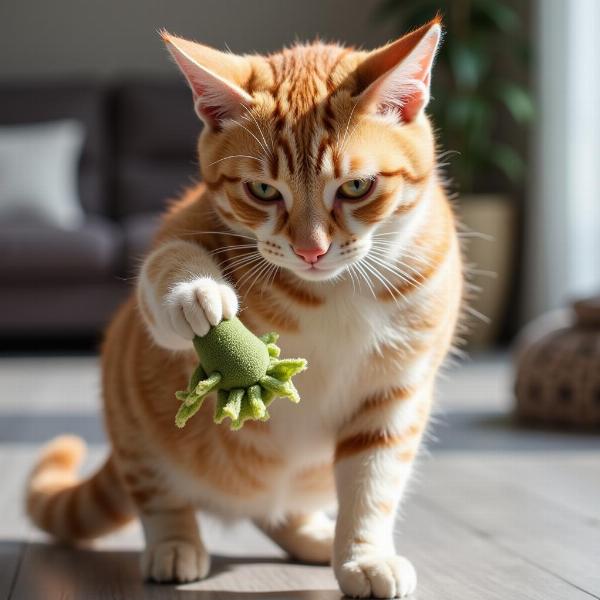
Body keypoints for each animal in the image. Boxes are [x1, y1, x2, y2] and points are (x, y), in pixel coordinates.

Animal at [25, 16, 462, 596]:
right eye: (262, 190)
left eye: (355, 187)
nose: (311, 250)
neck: (333, 289)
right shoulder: (179, 233)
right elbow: (166, 268)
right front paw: (197, 295)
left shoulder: (394, 394)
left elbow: (373, 484)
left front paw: (363, 556)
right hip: (133, 419)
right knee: (161, 498)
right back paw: (175, 546)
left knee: (276, 510)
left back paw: (314, 536)